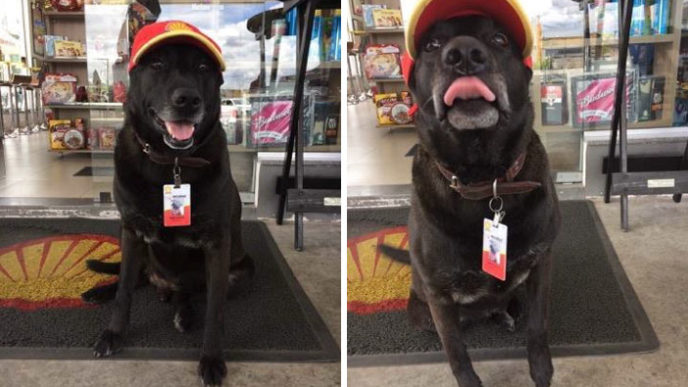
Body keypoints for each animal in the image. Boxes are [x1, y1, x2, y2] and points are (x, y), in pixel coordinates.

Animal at [90, 43, 253, 387]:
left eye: (203, 67)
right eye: (157, 65)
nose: (188, 100)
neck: (172, 162)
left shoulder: (217, 245)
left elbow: (215, 310)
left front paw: (212, 359)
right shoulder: (131, 232)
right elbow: (124, 291)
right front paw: (113, 333)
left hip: (239, 272)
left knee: (189, 292)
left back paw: (183, 311)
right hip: (140, 253)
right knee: (135, 278)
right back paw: (100, 292)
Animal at [398, 15, 560, 387]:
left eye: (500, 38)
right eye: (432, 45)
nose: (464, 54)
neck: (485, 182)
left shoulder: (541, 264)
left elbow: (538, 328)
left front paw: (541, 370)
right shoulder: (439, 297)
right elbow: (457, 353)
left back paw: (506, 315)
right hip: (422, 311)